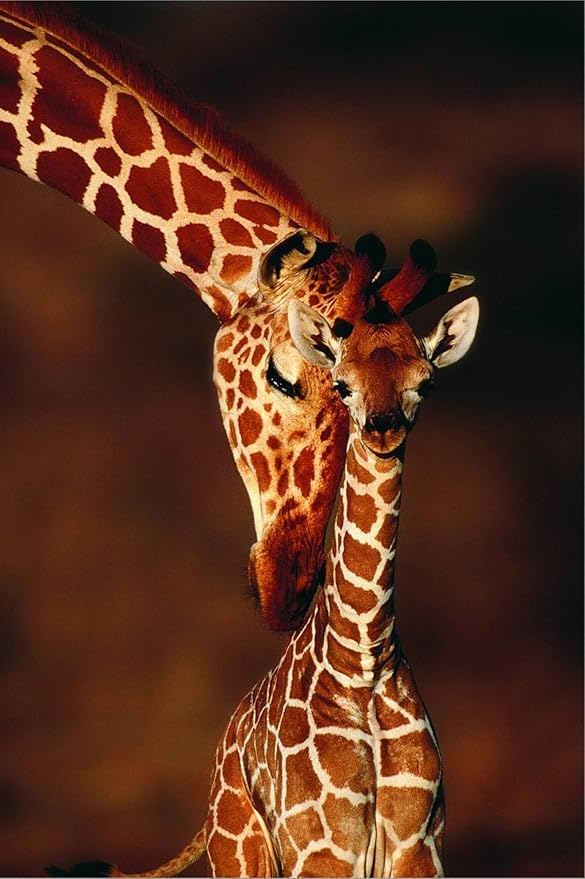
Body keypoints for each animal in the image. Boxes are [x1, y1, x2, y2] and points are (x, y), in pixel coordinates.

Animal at [53, 241, 478, 878]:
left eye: (424, 384)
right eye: (343, 383)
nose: (382, 429)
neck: (364, 659)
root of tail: (216, 773)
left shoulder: (419, 848)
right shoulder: (321, 849)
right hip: (242, 853)